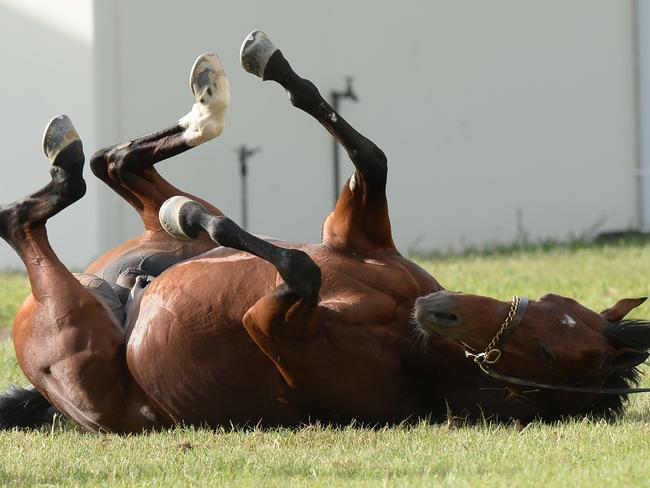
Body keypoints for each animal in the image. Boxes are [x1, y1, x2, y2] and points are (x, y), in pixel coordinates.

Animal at [1, 32, 648, 432]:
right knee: (114, 163)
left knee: (25, 218)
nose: (439, 309)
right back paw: (205, 103)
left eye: (547, 353)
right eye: (552, 302)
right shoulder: (351, 232)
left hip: (68, 325)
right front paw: (271, 62)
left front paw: (189, 215)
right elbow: (369, 157)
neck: (409, 341)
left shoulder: (269, 323)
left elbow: (301, 268)